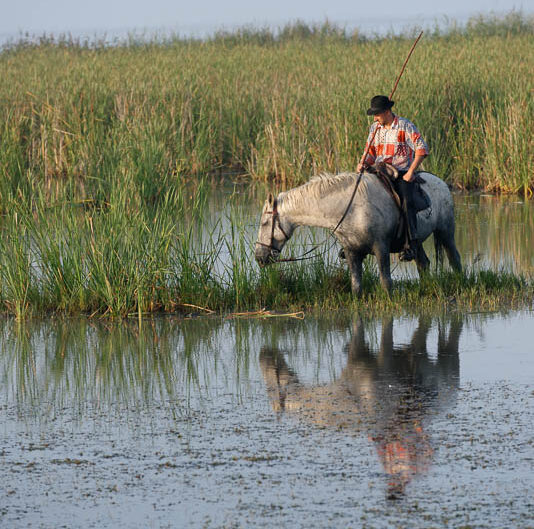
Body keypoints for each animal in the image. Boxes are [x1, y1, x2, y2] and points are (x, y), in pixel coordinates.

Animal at [254, 169, 460, 292]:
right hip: (416, 242)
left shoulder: (381, 248)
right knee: (423, 263)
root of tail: (442, 182)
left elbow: (386, 283)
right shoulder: (352, 252)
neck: (350, 209)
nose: (259, 257)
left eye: (264, 223)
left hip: (446, 231)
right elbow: (356, 285)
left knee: (454, 258)